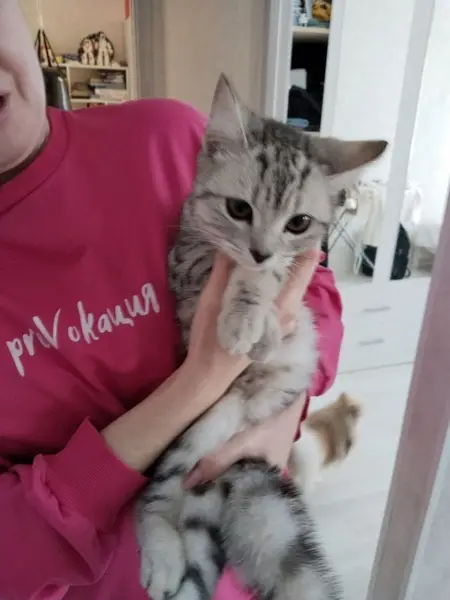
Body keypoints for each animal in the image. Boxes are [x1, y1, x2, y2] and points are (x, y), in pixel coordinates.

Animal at [135, 73, 386, 600]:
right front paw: (249, 317)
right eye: (238, 208)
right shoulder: (186, 261)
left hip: (221, 438)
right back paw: (162, 553)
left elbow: (276, 277)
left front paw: (262, 318)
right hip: (193, 433)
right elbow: (237, 270)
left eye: (299, 222)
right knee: (155, 495)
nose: (261, 250)